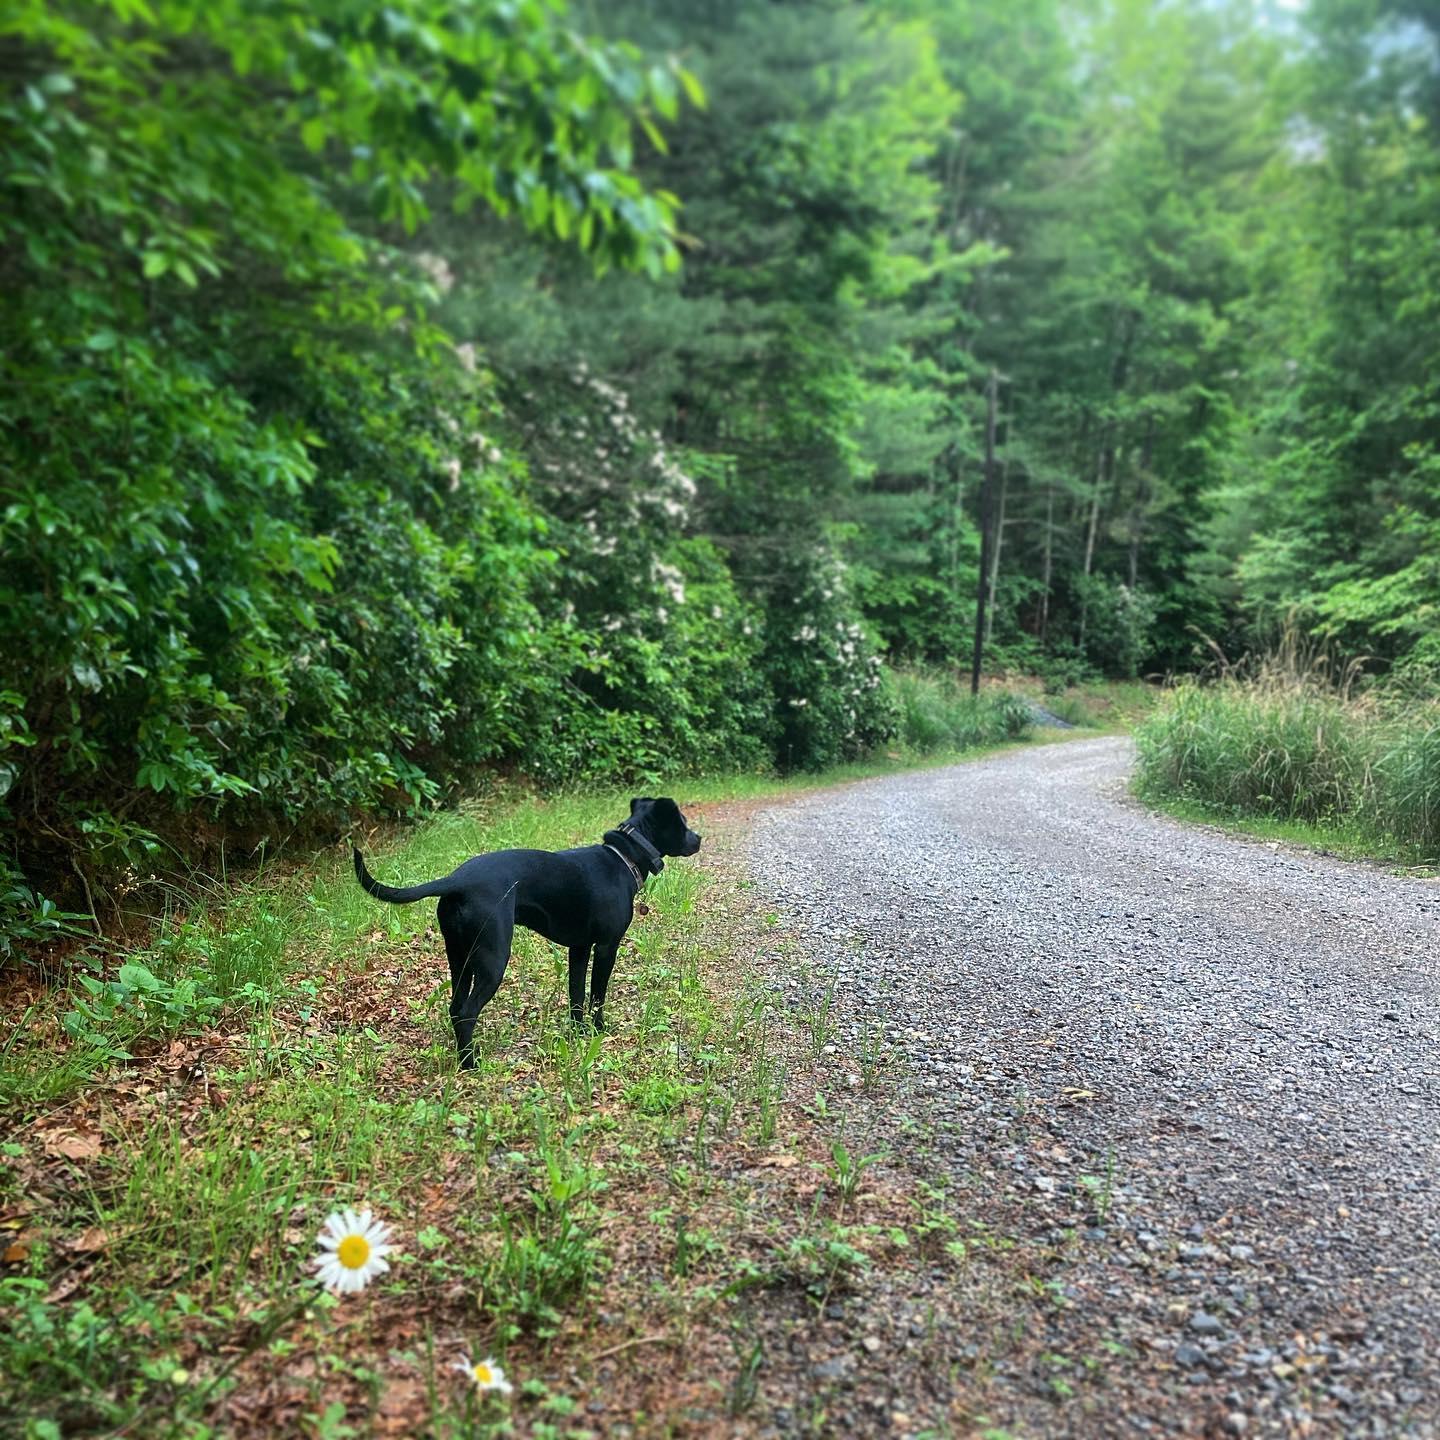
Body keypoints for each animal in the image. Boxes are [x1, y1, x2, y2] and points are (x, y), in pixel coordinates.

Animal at [354, 806, 702, 1065]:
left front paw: (579, 1032)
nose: (699, 838)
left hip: (460, 957)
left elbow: (576, 995)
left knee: (455, 1008)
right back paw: (470, 1064)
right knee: (466, 1012)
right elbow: (596, 996)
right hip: (492, 960)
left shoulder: (579, 948)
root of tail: (456, 880)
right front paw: (599, 1030)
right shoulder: (606, 947)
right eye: (683, 823)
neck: (622, 858)